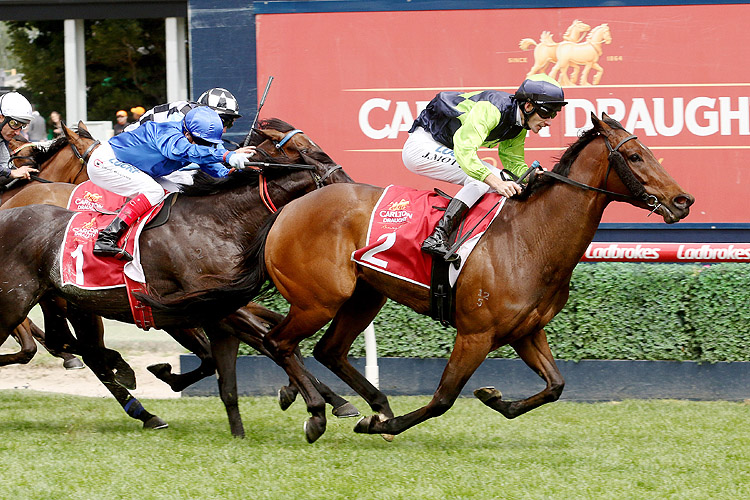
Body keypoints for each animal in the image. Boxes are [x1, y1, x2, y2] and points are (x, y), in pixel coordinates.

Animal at [0, 119, 356, 436]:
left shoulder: (218, 305)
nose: (351, 184)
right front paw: (317, 404)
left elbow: (261, 338)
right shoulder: (201, 307)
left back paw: (140, 405)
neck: (218, 221)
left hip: (75, 303)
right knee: (74, 346)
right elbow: (261, 342)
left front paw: (324, 398)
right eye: (307, 149)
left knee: (81, 348)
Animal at [144, 112, 696, 442]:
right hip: (319, 298)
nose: (682, 200)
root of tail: (285, 211)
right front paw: (383, 426)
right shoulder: (476, 334)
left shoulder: (526, 332)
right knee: (279, 341)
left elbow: (556, 386)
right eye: (635, 155)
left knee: (325, 350)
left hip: (363, 296)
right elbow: (442, 399)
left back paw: (358, 404)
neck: (530, 238)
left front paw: (495, 398)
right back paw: (321, 410)